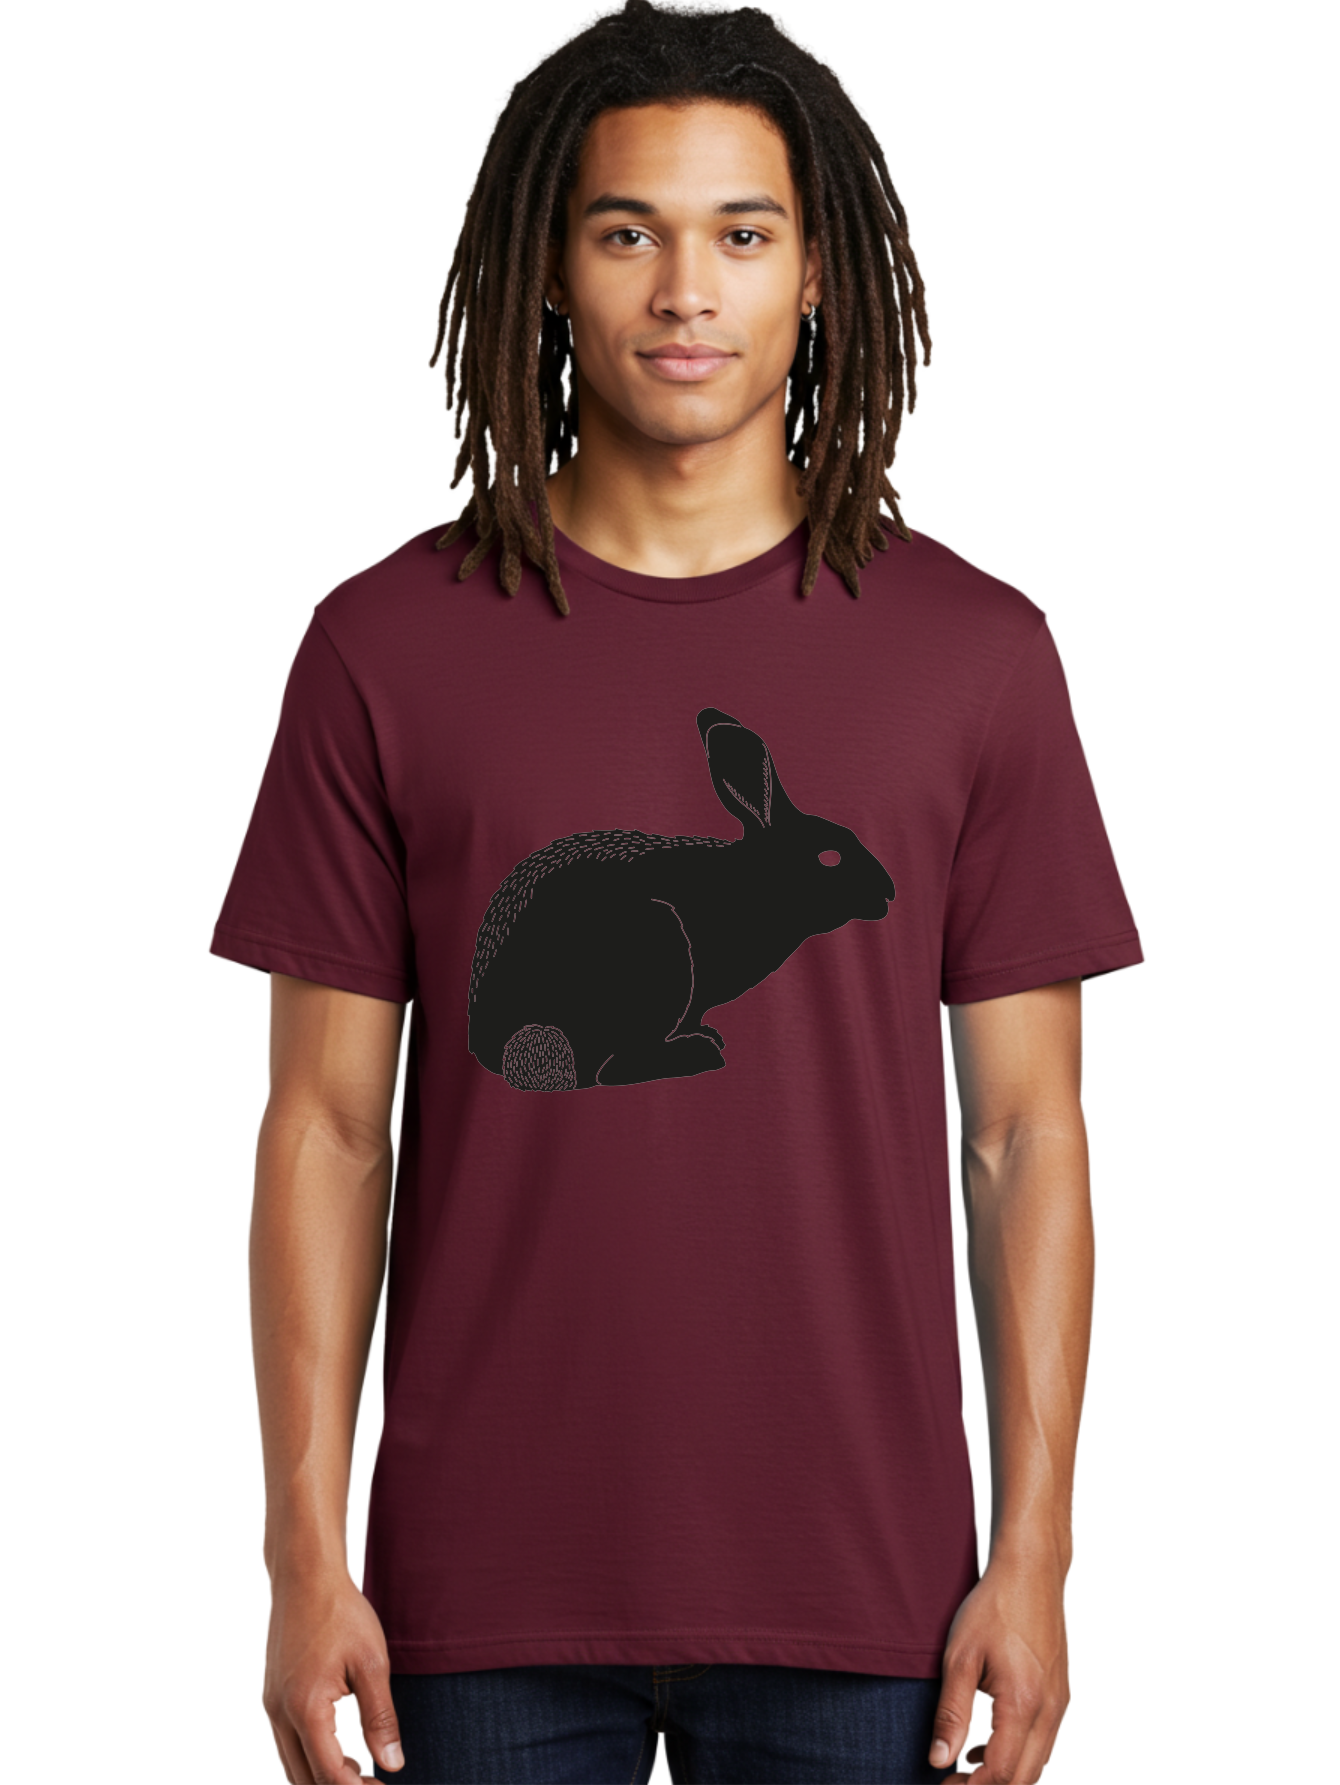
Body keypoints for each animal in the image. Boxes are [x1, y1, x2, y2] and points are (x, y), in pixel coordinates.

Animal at [467, 707, 896, 1089]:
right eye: (830, 857)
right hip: (651, 945)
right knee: (608, 1069)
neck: (755, 885)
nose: (890, 891)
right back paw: (697, 1054)